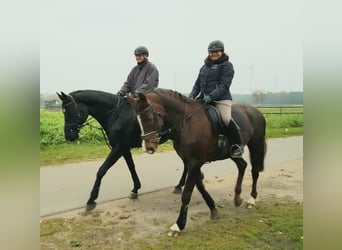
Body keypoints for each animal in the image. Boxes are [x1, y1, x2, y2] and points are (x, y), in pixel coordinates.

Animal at [57, 90, 188, 211]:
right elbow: (131, 167)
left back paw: (180, 185)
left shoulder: (118, 148)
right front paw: (135, 189)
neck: (116, 115)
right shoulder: (124, 149)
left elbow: (101, 170)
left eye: (69, 110)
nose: (69, 136)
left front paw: (91, 200)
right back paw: (179, 185)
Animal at [131, 89, 268, 235]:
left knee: (254, 171)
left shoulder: (194, 163)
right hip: (231, 153)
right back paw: (237, 198)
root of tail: (256, 111)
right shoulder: (191, 162)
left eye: (148, 118)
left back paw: (251, 200)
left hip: (256, 145)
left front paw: (178, 225)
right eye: (137, 120)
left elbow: (186, 194)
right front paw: (213, 209)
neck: (187, 123)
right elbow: (201, 187)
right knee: (242, 165)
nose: (149, 148)